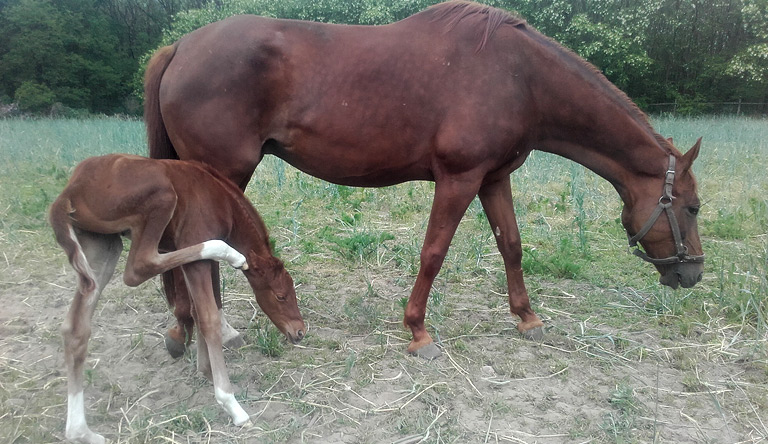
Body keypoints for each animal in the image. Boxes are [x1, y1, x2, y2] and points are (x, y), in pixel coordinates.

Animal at [48, 154, 304, 442]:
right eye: (281, 296)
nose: (299, 331)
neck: (221, 200)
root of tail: (70, 190)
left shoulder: (196, 263)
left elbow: (196, 312)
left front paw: (206, 371)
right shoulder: (196, 256)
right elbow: (208, 318)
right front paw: (230, 404)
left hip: (102, 245)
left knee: (75, 329)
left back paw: (81, 432)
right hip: (162, 197)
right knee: (139, 267)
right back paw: (231, 253)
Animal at [142, 0, 704, 360]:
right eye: (693, 208)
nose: (692, 274)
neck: (519, 76)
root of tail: (180, 47)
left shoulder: (493, 178)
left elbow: (512, 245)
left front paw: (527, 318)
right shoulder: (458, 178)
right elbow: (434, 252)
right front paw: (418, 332)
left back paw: (184, 329)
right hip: (223, 173)